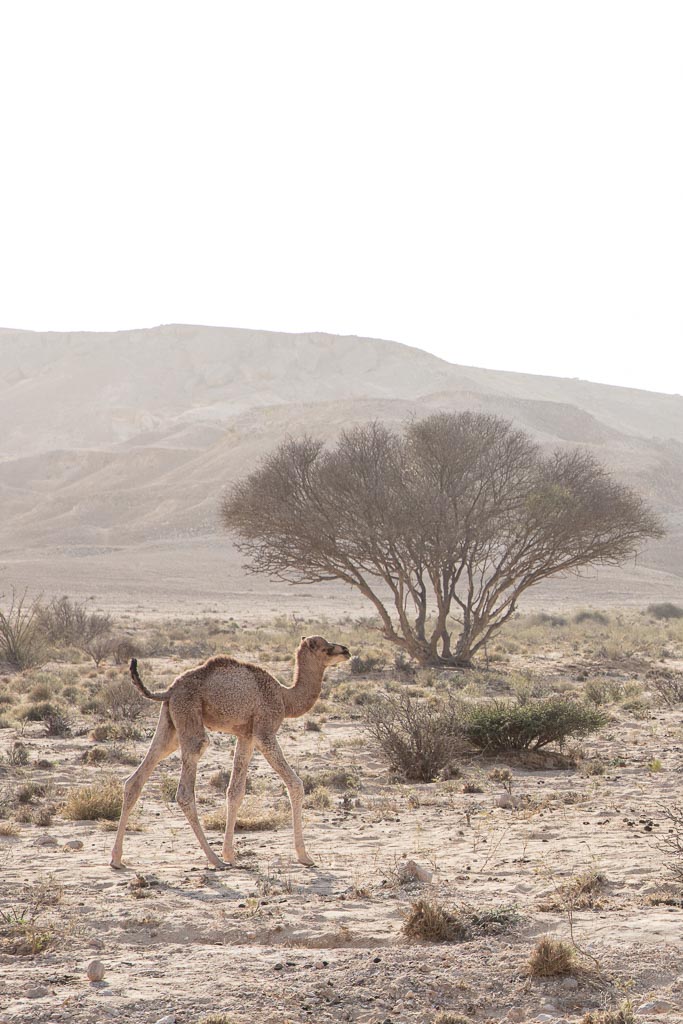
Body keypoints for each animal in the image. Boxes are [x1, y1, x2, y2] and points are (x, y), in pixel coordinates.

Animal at [110, 635, 350, 870]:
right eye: (325, 647)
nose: (346, 650)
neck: (285, 697)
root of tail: (169, 690)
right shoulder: (264, 732)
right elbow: (295, 784)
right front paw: (304, 856)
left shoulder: (246, 736)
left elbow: (235, 792)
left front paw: (230, 854)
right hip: (190, 719)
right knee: (185, 790)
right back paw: (213, 859)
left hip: (170, 724)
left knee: (137, 778)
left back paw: (116, 859)